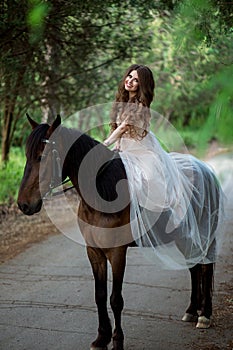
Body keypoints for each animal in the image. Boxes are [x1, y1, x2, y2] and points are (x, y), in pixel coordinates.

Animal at [17, 115, 218, 350]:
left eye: (42, 156)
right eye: (27, 156)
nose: (23, 205)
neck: (102, 192)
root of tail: (205, 169)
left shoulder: (117, 252)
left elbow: (115, 299)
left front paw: (117, 340)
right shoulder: (94, 252)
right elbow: (100, 295)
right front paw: (101, 338)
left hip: (202, 232)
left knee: (205, 267)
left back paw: (204, 315)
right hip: (185, 235)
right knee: (194, 267)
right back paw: (191, 311)